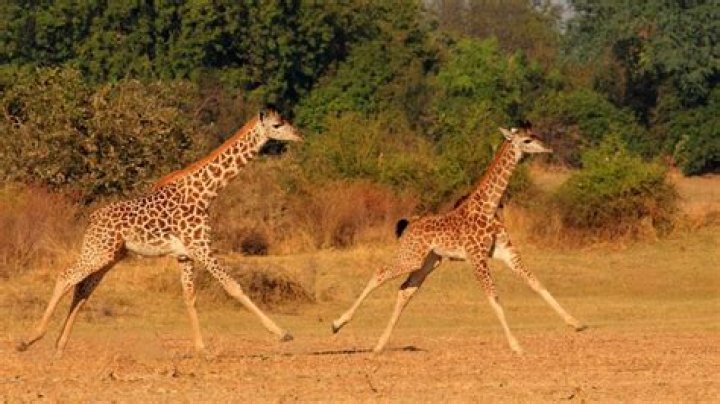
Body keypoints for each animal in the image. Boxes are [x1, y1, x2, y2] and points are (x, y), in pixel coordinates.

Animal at [16, 108, 302, 357]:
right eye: (277, 125)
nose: (299, 135)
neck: (205, 194)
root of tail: (92, 219)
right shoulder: (202, 246)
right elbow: (233, 286)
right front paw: (283, 334)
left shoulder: (185, 254)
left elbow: (190, 297)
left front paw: (201, 350)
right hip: (99, 252)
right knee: (66, 277)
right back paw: (28, 340)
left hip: (109, 256)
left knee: (83, 289)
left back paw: (59, 346)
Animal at [331, 125, 586, 354]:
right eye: (526, 140)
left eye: (534, 135)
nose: (548, 147)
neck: (488, 207)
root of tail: (409, 225)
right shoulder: (477, 257)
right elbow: (493, 296)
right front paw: (516, 346)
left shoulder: (506, 252)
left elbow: (537, 283)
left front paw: (576, 323)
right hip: (411, 256)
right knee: (380, 272)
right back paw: (337, 324)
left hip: (429, 261)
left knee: (405, 289)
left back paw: (378, 346)